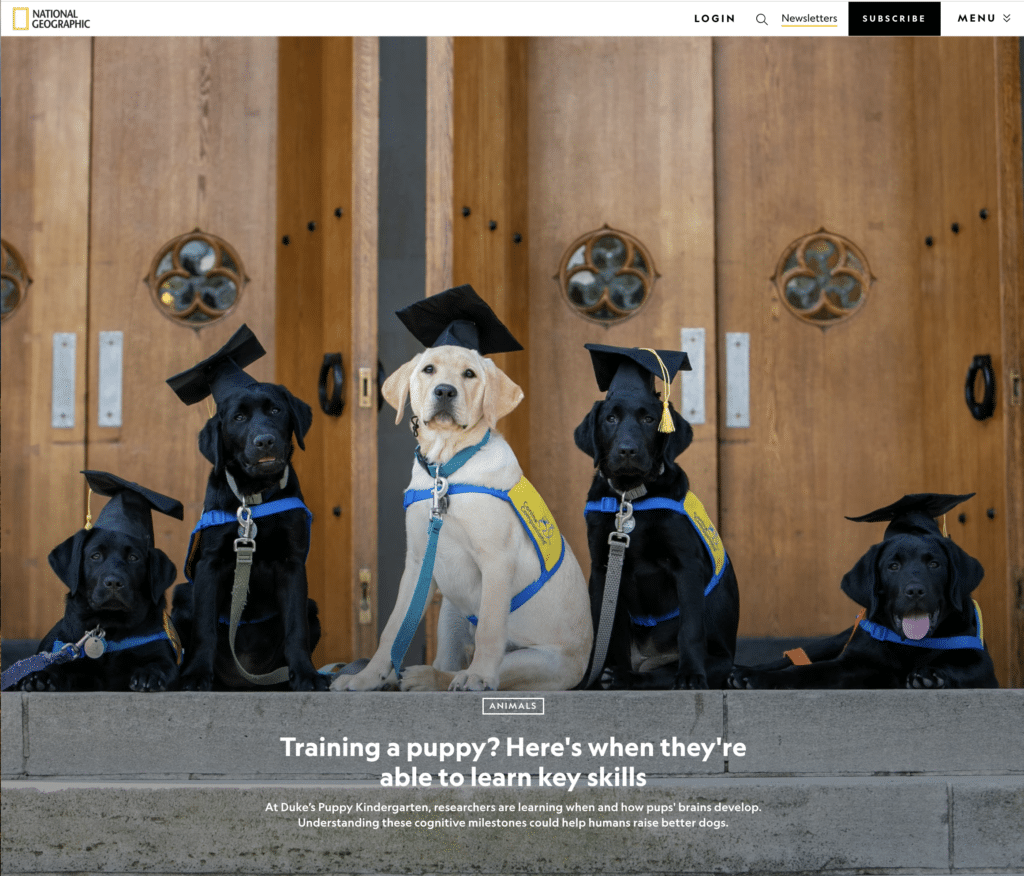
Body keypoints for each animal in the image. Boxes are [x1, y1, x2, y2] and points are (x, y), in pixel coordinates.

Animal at [16, 473, 182, 692]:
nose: (114, 582)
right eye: (95, 556)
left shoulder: (163, 656)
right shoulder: (73, 659)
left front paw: (150, 675)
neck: (108, 629)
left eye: (134, 558)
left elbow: (160, 665)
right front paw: (40, 677)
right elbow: (58, 668)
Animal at [167, 327, 325, 692]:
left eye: (276, 411)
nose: (264, 441)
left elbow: (296, 628)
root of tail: (243, 680)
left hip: (313, 607)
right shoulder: (210, 564)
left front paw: (306, 674)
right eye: (238, 418)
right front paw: (196, 675)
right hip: (183, 594)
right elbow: (205, 629)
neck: (254, 498)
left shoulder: (292, 564)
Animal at [337, 342, 593, 692]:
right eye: (428, 369)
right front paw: (366, 678)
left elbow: (489, 629)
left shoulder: (497, 560)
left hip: (535, 661)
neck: (446, 469)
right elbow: (393, 629)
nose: (445, 391)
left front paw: (479, 675)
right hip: (449, 613)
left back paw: (429, 677)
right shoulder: (417, 562)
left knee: (462, 668)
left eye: (469, 374)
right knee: (446, 660)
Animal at [577, 346, 737, 688]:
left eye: (649, 419)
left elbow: (690, 628)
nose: (627, 450)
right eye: (610, 418)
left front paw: (690, 675)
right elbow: (601, 627)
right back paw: (609, 674)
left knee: (656, 674)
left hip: (718, 661)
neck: (631, 498)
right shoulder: (602, 567)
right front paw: (591, 676)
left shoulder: (686, 564)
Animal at [729, 495, 999, 688]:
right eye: (893, 566)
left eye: (934, 564)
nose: (914, 591)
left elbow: (959, 667)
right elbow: (805, 670)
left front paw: (931, 674)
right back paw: (743, 671)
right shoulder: (851, 663)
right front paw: (759, 678)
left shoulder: (982, 665)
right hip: (834, 641)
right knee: (792, 657)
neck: (910, 644)